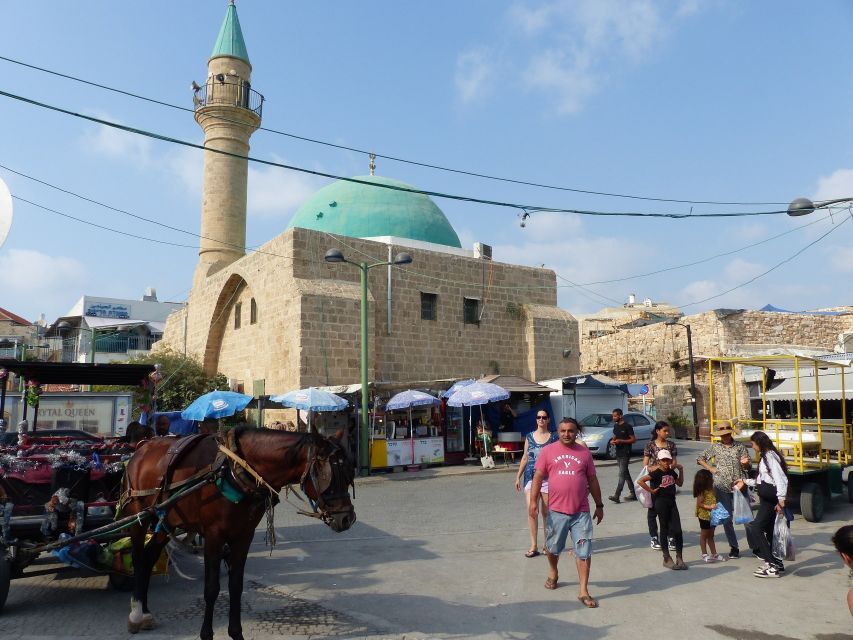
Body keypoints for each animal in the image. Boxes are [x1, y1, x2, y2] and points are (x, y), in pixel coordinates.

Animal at [119, 424, 352, 640]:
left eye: (348, 472)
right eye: (327, 475)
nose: (347, 518)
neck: (236, 469)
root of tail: (141, 449)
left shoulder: (244, 535)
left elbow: (236, 586)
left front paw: (236, 632)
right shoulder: (213, 536)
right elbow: (212, 589)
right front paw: (206, 634)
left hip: (165, 518)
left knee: (149, 557)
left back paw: (145, 611)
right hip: (139, 516)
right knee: (138, 557)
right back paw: (136, 613)